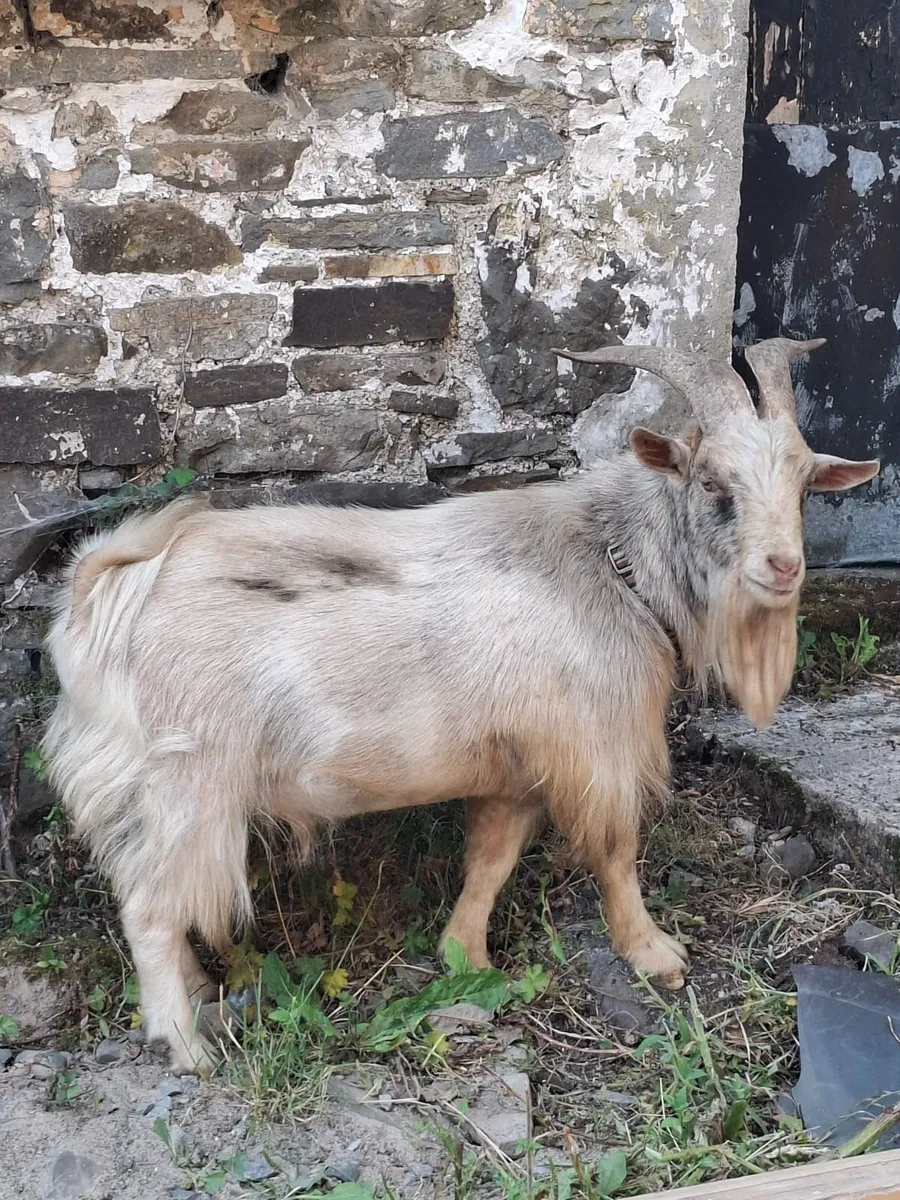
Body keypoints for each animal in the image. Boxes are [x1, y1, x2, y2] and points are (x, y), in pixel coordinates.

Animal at [43, 336, 878, 1075]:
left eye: (804, 484)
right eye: (711, 483)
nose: (783, 567)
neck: (615, 568)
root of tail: (105, 592)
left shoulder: (514, 769)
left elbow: (490, 861)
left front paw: (467, 958)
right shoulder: (596, 750)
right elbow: (615, 853)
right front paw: (655, 956)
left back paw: (199, 992)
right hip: (192, 783)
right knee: (149, 908)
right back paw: (185, 1046)